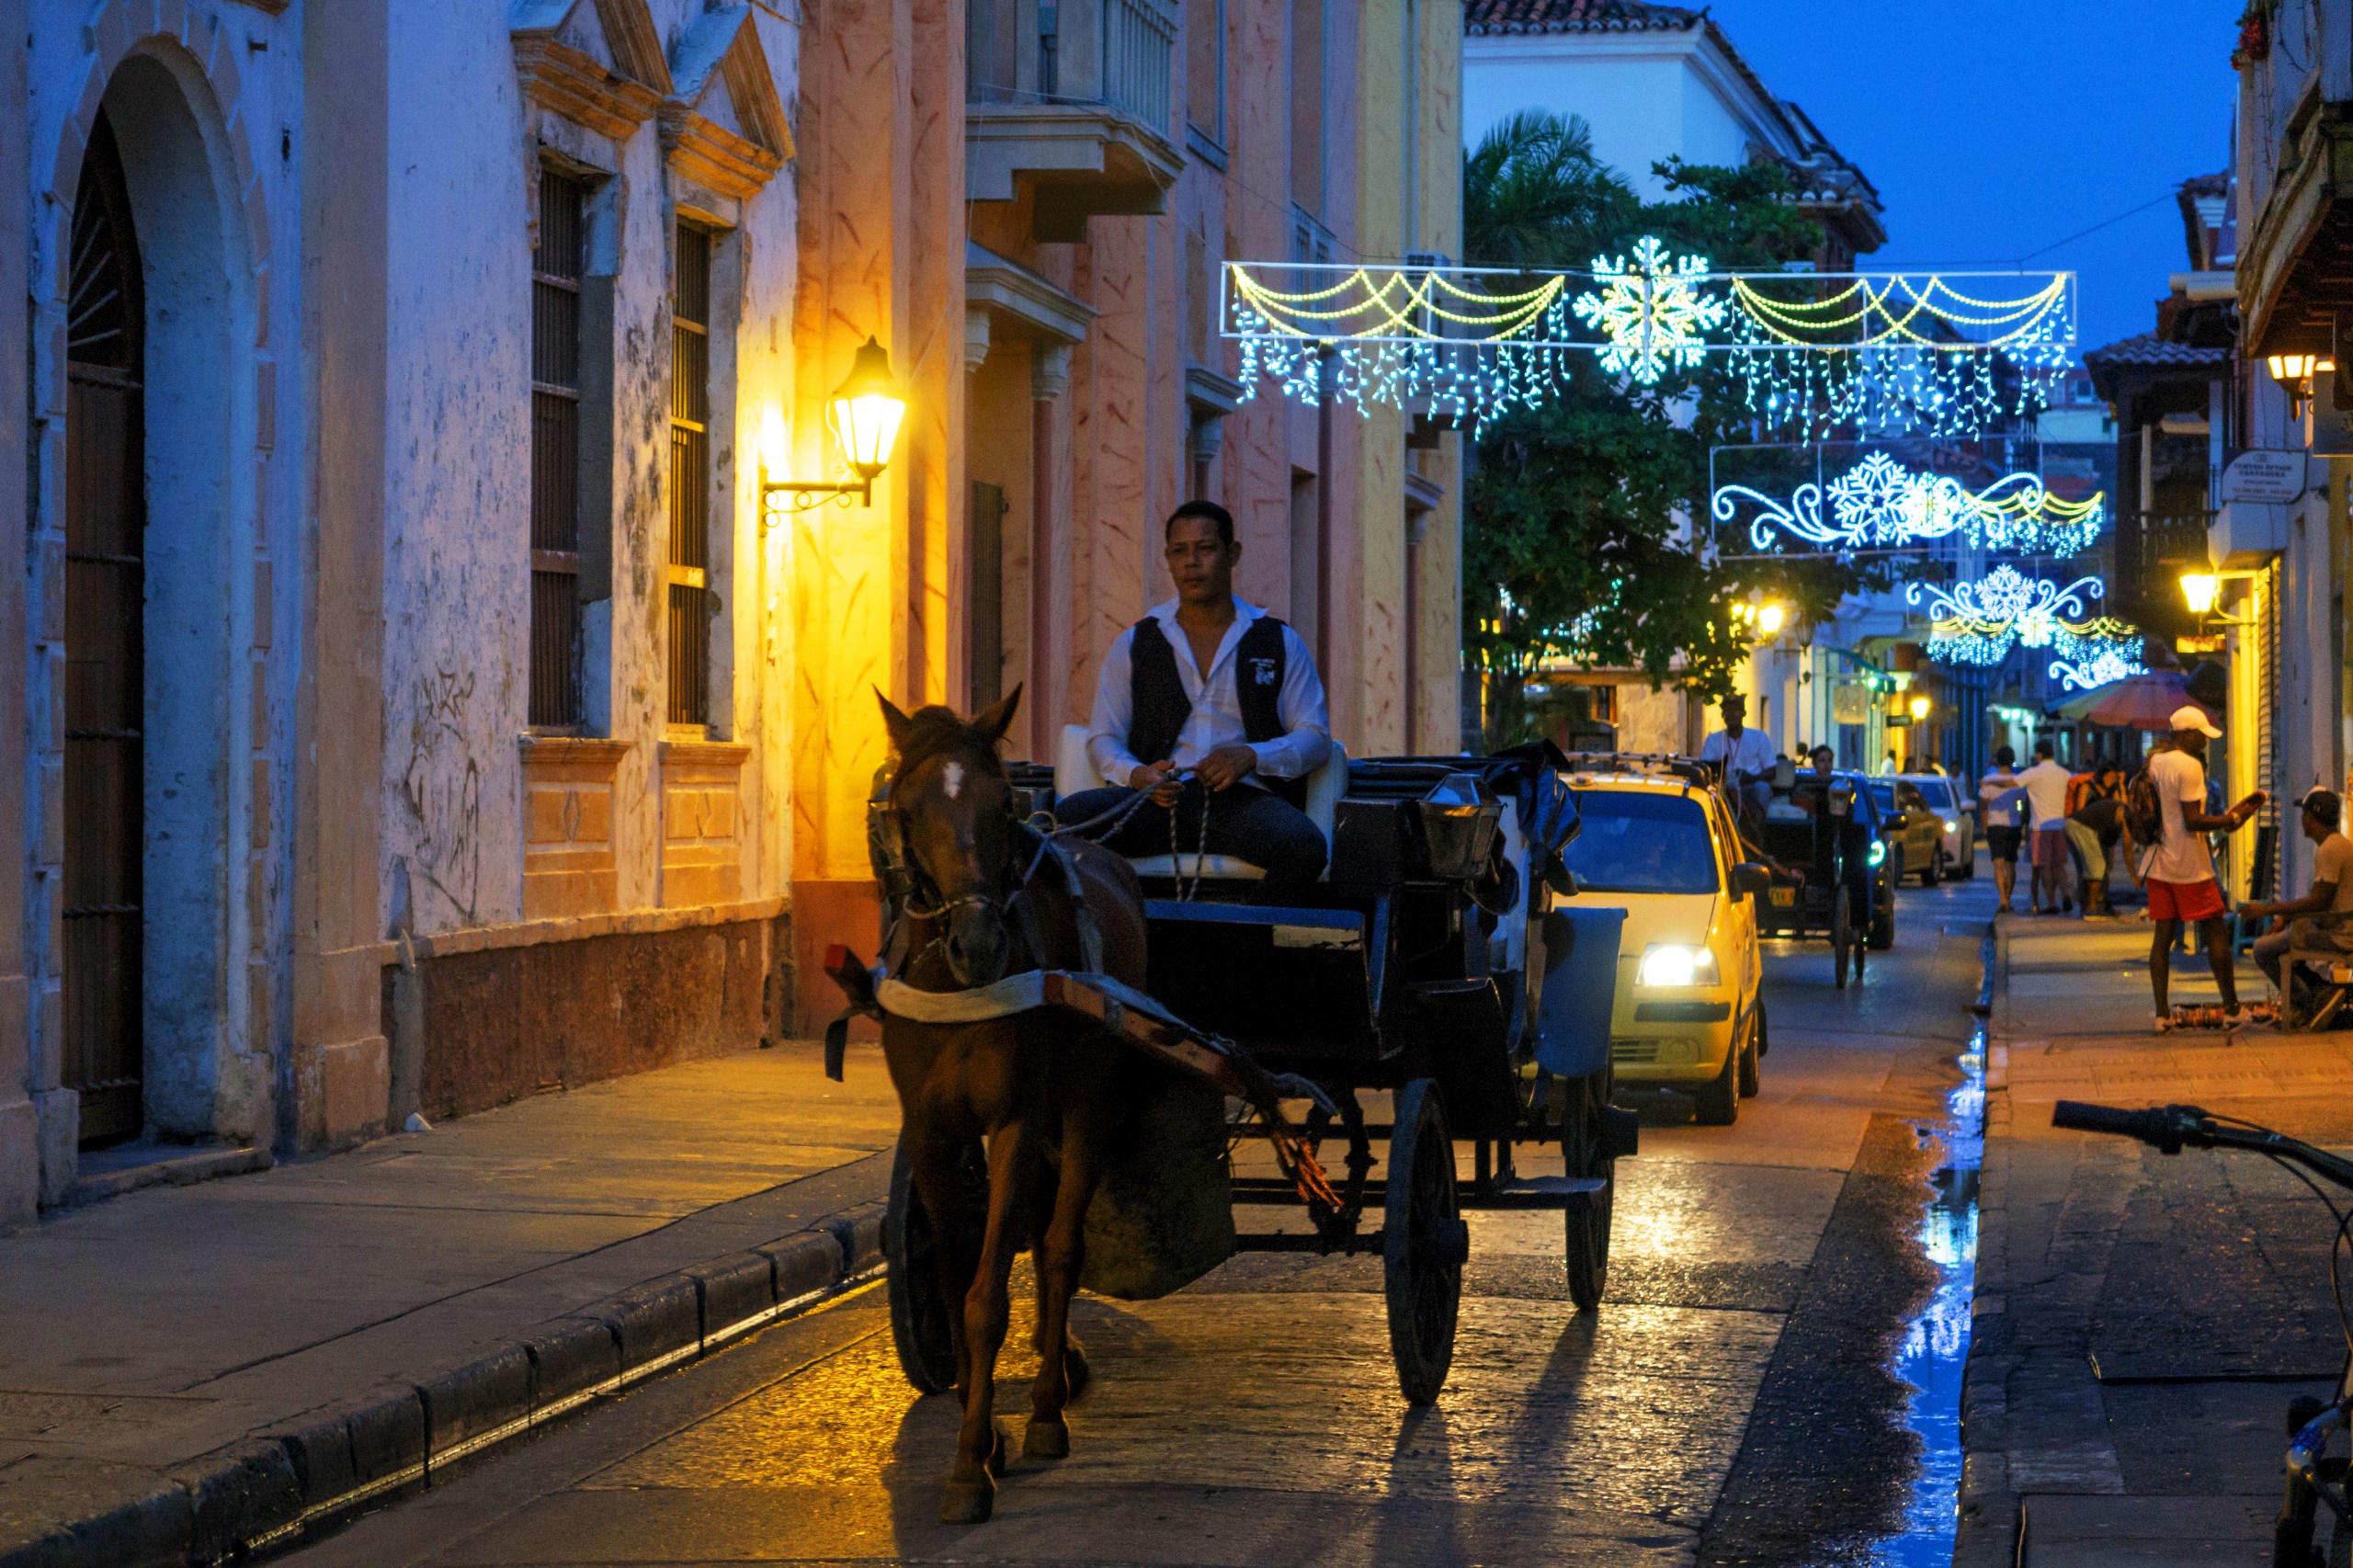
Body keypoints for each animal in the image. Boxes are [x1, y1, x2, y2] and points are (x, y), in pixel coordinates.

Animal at [875, 682, 1148, 1516]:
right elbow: (955, 1271)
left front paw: (972, 1461)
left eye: (1002, 803)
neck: (955, 986)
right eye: (906, 807)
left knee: (1059, 1246)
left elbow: (989, 1292)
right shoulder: (931, 1132)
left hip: (1085, 1100)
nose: (978, 942)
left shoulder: (1015, 1121)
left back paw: (1049, 1406)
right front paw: (980, 1422)